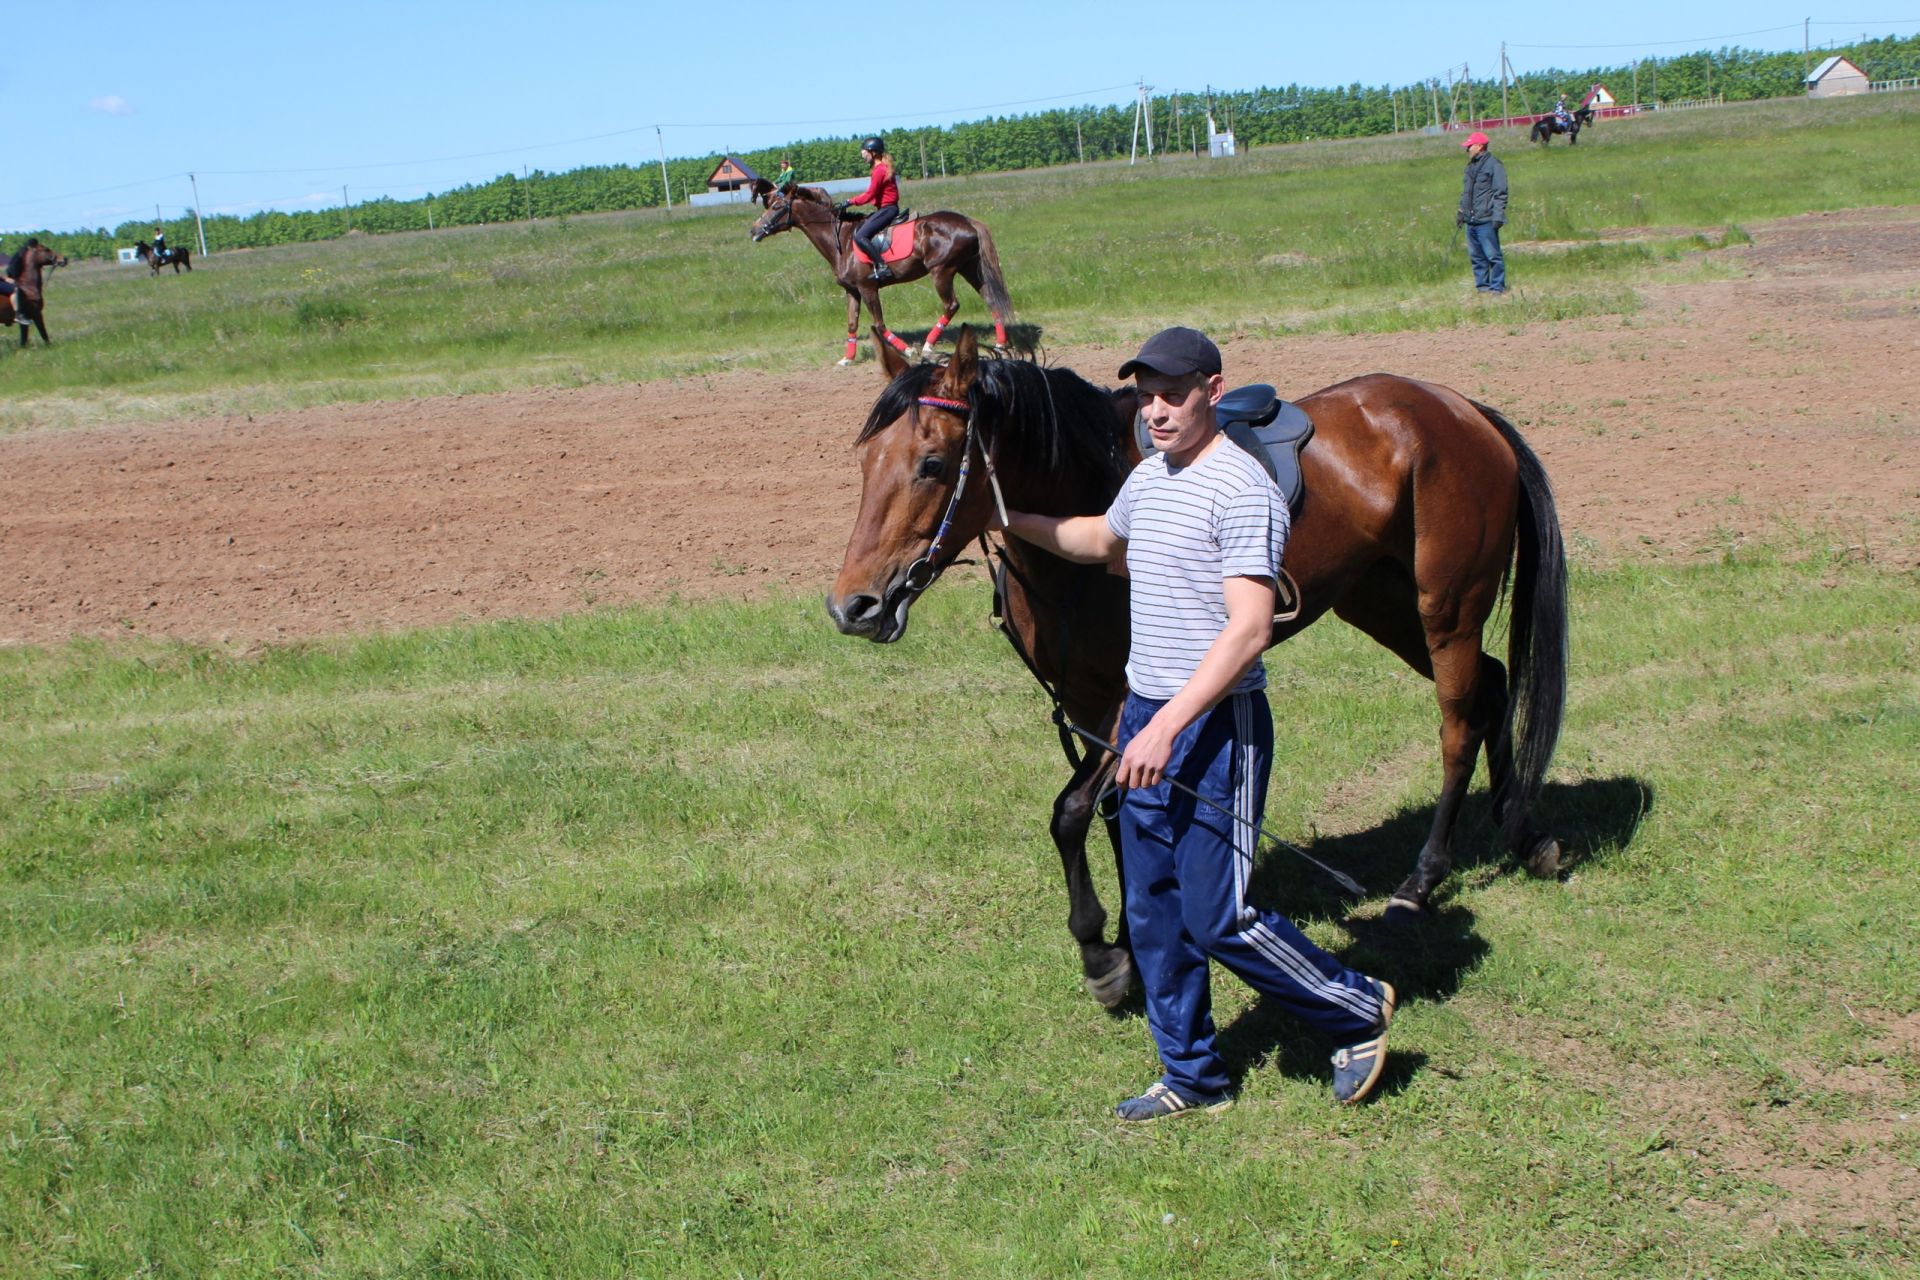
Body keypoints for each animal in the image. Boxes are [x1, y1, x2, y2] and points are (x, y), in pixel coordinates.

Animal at [744, 177, 1021, 364]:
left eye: (776, 207)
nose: (754, 230)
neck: (843, 240)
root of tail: (968, 222)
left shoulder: (868, 287)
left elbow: (878, 323)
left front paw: (907, 350)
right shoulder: (852, 291)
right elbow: (852, 323)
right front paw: (847, 358)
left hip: (942, 271)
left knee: (951, 305)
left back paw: (928, 346)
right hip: (969, 268)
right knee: (991, 299)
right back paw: (1000, 343)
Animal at [821, 333, 1559, 1013]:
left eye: (933, 463)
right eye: (864, 462)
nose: (852, 606)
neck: (1092, 500)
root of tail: (1460, 409)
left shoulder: (1131, 696)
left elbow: (1071, 811)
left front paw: (1101, 953)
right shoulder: (1088, 700)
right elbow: (1112, 813)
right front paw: (1132, 938)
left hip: (1447, 610)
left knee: (1459, 726)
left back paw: (1420, 882)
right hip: (1381, 602)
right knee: (1494, 684)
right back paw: (1523, 832)